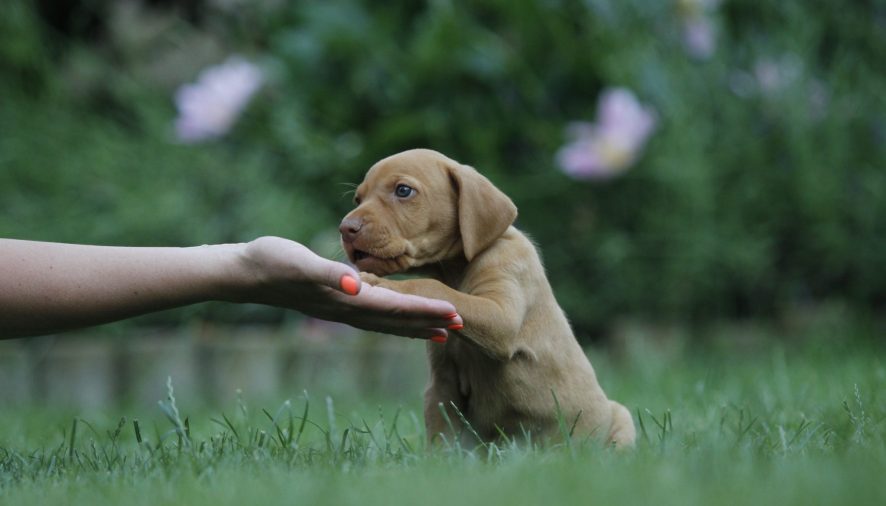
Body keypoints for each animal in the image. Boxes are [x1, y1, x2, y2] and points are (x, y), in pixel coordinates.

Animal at [340, 147, 640, 446]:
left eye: (403, 190)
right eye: (358, 199)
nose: (346, 228)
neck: (454, 271)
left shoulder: (501, 308)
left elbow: (431, 286)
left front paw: (382, 283)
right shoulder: (441, 386)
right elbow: (440, 436)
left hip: (620, 418)